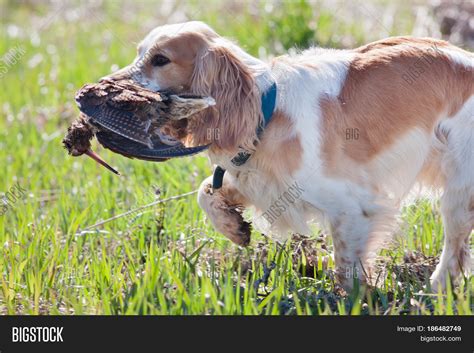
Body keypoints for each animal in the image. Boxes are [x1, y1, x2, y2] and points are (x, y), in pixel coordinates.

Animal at [105, 21, 472, 288]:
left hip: (459, 192)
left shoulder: (354, 206)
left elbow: (346, 267)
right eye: (139, 53)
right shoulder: (261, 181)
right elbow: (206, 191)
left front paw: (356, 298)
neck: (266, 110)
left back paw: (435, 288)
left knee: (454, 249)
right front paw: (233, 228)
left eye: (160, 60)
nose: (106, 85)